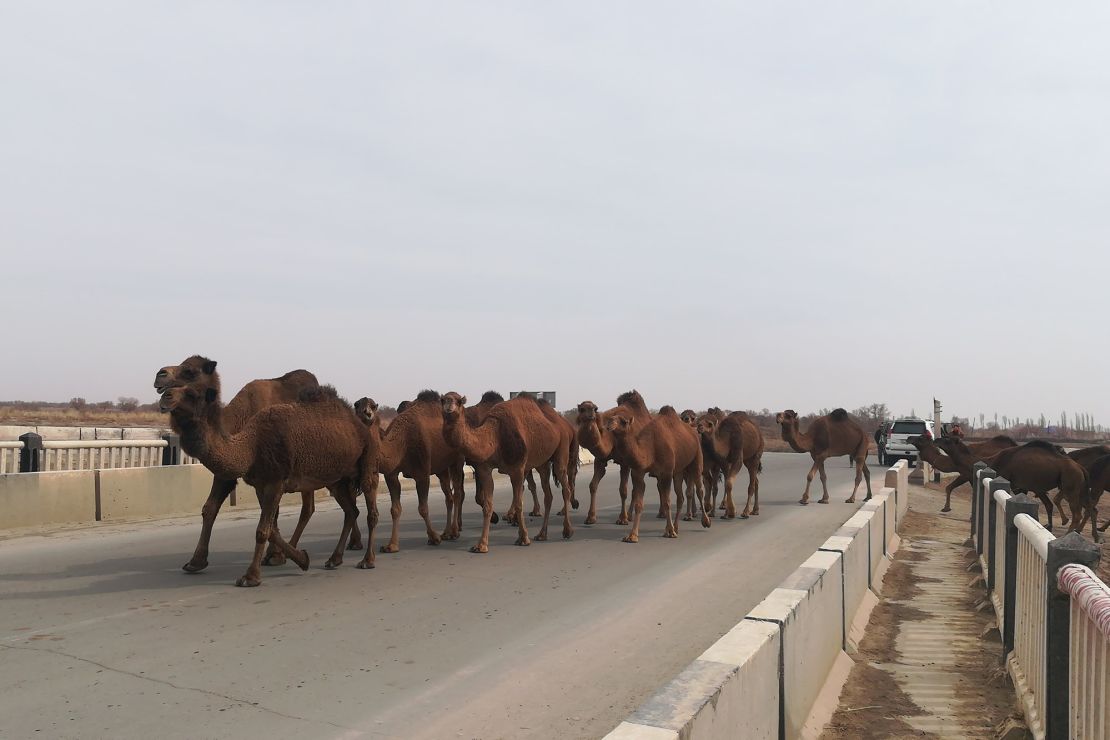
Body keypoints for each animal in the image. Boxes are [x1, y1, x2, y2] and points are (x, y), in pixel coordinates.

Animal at [156, 359, 372, 590]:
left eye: (191, 387)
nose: (164, 390)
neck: (250, 443)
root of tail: (356, 423)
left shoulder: (275, 481)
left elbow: (263, 529)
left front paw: (252, 575)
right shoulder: (257, 482)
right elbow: (260, 525)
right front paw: (301, 558)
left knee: (332, 508)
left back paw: (358, 554)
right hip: (335, 479)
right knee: (349, 510)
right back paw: (336, 557)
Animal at [350, 392, 468, 561]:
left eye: (373, 406)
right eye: (356, 405)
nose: (367, 413)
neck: (401, 442)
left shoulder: (422, 473)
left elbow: (423, 508)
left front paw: (433, 537)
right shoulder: (391, 475)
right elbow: (395, 509)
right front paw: (391, 546)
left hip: (457, 459)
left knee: (458, 493)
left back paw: (454, 532)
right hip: (441, 468)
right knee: (449, 496)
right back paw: (446, 532)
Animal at [437, 392, 572, 554]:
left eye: (459, 401)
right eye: (443, 400)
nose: (449, 406)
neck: (495, 436)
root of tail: (561, 421)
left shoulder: (518, 468)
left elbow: (519, 503)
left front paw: (523, 538)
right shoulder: (484, 469)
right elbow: (488, 505)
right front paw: (481, 545)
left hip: (562, 447)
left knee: (565, 486)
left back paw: (567, 531)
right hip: (543, 462)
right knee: (548, 494)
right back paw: (541, 534)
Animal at [577, 390, 652, 523]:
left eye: (595, 408)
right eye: (581, 409)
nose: (590, 411)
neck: (610, 437)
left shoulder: (625, 463)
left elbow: (623, 490)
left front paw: (622, 519)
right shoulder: (600, 459)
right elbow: (592, 486)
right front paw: (590, 517)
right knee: (636, 488)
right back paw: (631, 515)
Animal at [603, 406, 705, 543]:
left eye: (623, 421)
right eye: (611, 418)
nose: (609, 424)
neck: (651, 449)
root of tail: (694, 431)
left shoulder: (666, 473)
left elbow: (667, 502)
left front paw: (670, 532)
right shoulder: (638, 472)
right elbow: (639, 504)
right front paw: (632, 536)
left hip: (696, 457)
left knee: (699, 489)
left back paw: (705, 521)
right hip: (678, 471)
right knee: (680, 497)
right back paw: (676, 527)